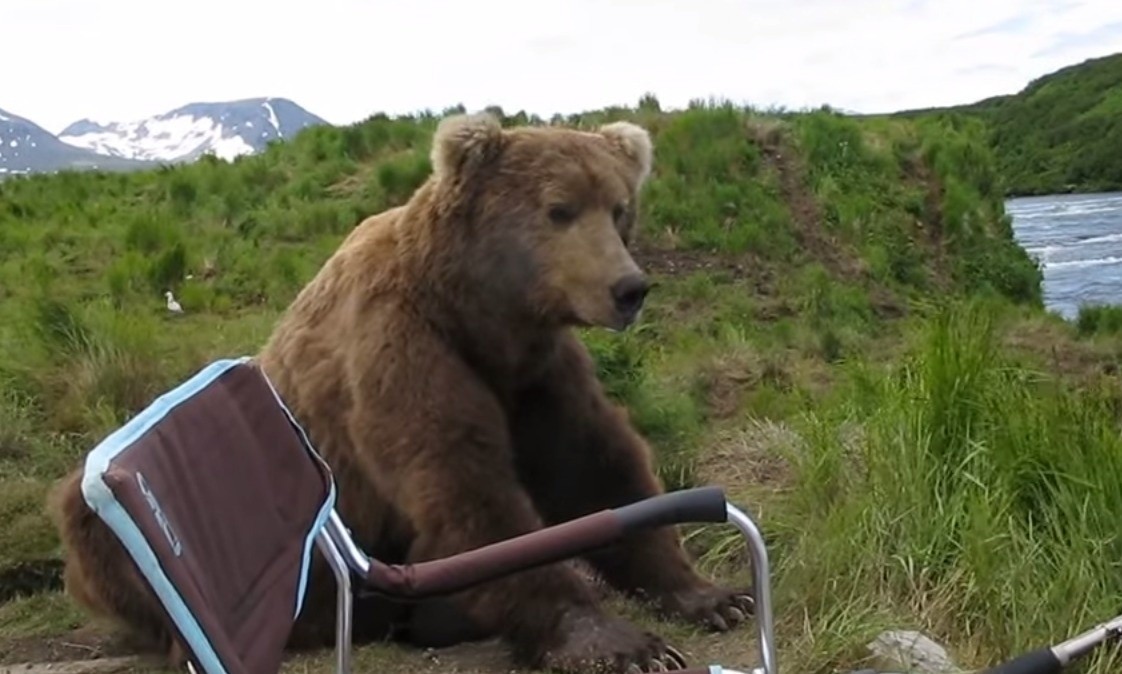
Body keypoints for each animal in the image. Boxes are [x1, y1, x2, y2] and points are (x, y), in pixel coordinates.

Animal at [52, 113, 753, 668]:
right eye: (560, 209)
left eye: (619, 208)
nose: (629, 288)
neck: (478, 313)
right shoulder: (401, 348)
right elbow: (467, 488)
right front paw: (619, 642)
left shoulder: (536, 373)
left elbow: (596, 465)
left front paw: (714, 596)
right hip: (120, 527)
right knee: (95, 529)